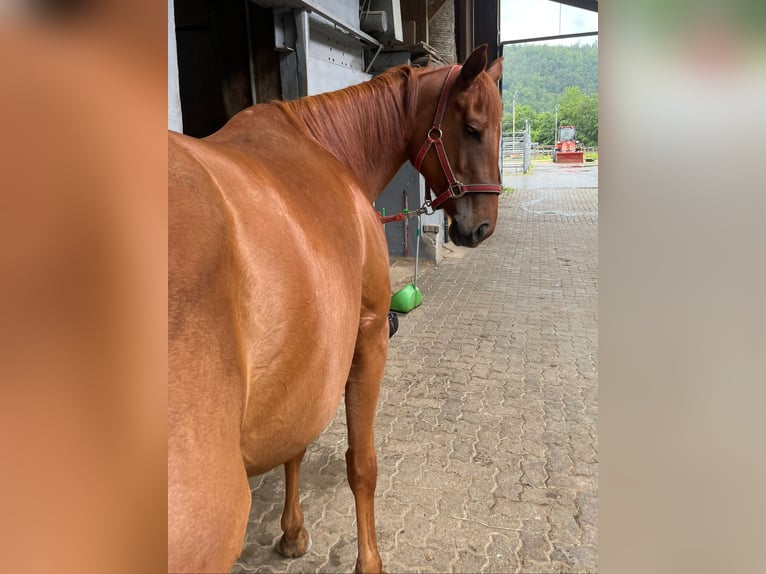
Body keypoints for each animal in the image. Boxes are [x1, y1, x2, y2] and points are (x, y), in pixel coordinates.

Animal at [168, 46, 504, 574]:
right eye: (472, 128)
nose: (483, 226)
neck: (328, 149)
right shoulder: (366, 336)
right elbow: (361, 464)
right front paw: (369, 561)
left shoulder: (306, 358)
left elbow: (295, 445)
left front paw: (292, 531)